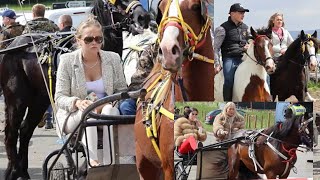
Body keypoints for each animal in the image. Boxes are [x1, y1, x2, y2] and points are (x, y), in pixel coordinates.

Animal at [0, 0, 150, 179]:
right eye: (114, 1)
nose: (143, 17)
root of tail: (13, 46)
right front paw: (81, 167)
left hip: (40, 99)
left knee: (25, 130)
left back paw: (21, 172)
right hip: (17, 99)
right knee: (11, 134)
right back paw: (16, 170)